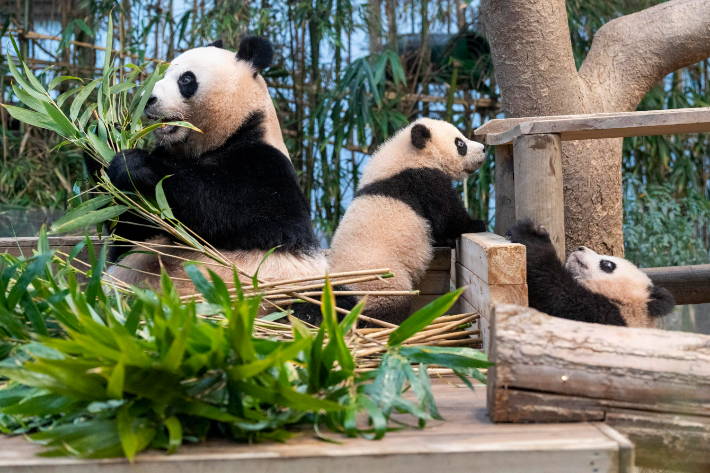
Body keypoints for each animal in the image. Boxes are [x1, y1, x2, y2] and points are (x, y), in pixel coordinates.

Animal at [98, 36, 330, 302]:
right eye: (164, 74)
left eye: (186, 79)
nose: (148, 99)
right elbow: (128, 233)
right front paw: (105, 134)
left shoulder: (268, 168)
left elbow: (222, 205)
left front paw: (133, 163)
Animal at [330, 118, 490, 324]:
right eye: (460, 144)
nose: (483, 149)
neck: (408, 155)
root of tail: (344, 288)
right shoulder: (421, 180)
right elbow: (447, 215)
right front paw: (476, 224)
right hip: (381, 280)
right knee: (387, 306)